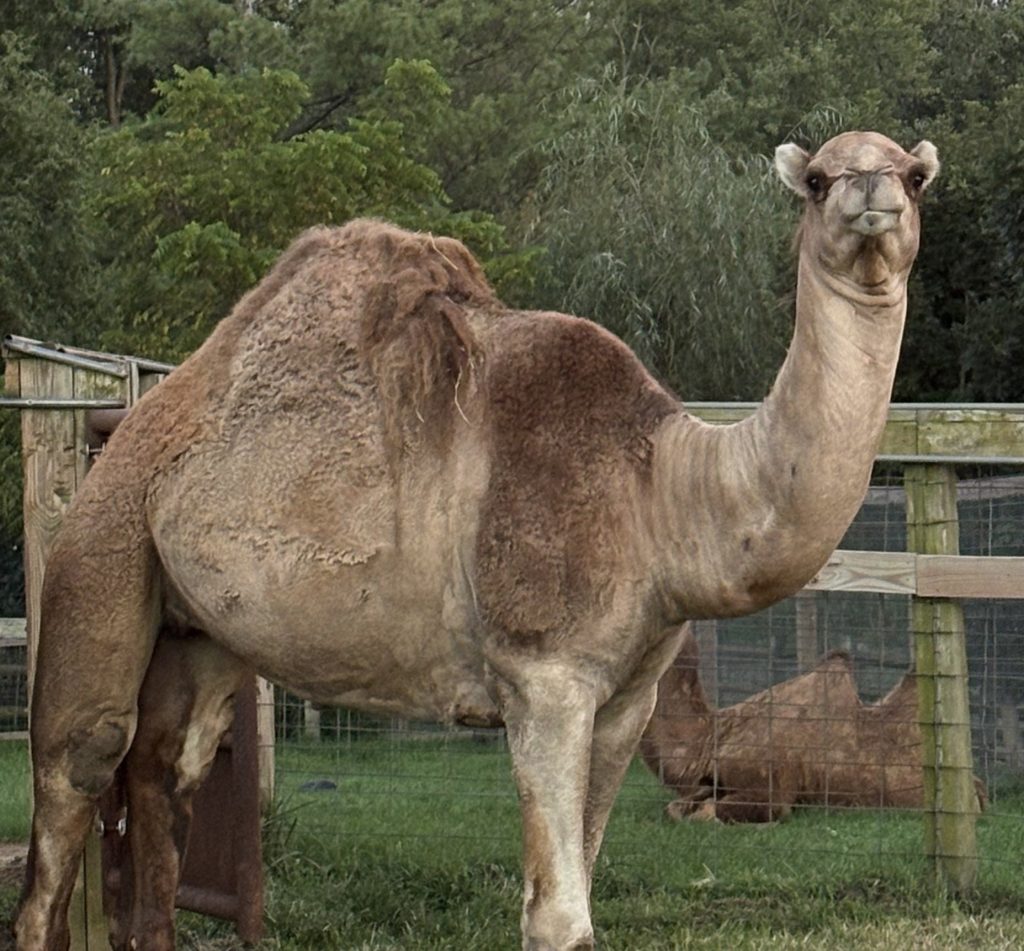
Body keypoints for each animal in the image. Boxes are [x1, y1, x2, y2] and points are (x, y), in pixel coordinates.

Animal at [16, 131, 938, 951]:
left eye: (913, 175)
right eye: (816, 180)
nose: (871, 195)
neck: (660, 488)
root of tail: (127, 437)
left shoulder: (628, 698)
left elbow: (585, 878)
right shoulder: (544, 675)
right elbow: (560, 918)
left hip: (198, 629)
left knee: (168, 769)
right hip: (101, 550)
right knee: (77, 770)